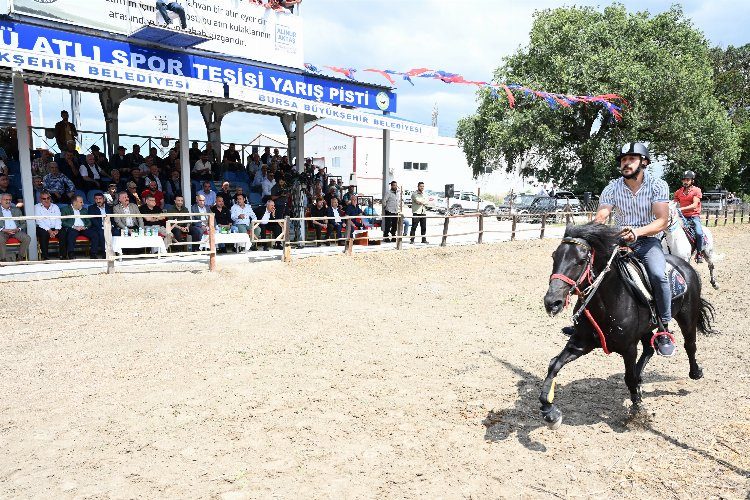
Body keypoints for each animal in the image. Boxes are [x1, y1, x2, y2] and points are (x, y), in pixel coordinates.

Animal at [540, 224, 716, 430]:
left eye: (581, 260)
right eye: (554, 256)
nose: (552, 302)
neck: (609, 302)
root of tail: (685, 266)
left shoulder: (629, 348)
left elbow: (628, 377)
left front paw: (637, 411)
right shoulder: (581, 343)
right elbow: (554, 364)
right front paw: (549, 412)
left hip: (687, 316)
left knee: (689, 345)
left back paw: (694, 371)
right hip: (647, 327)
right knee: (649, 348)